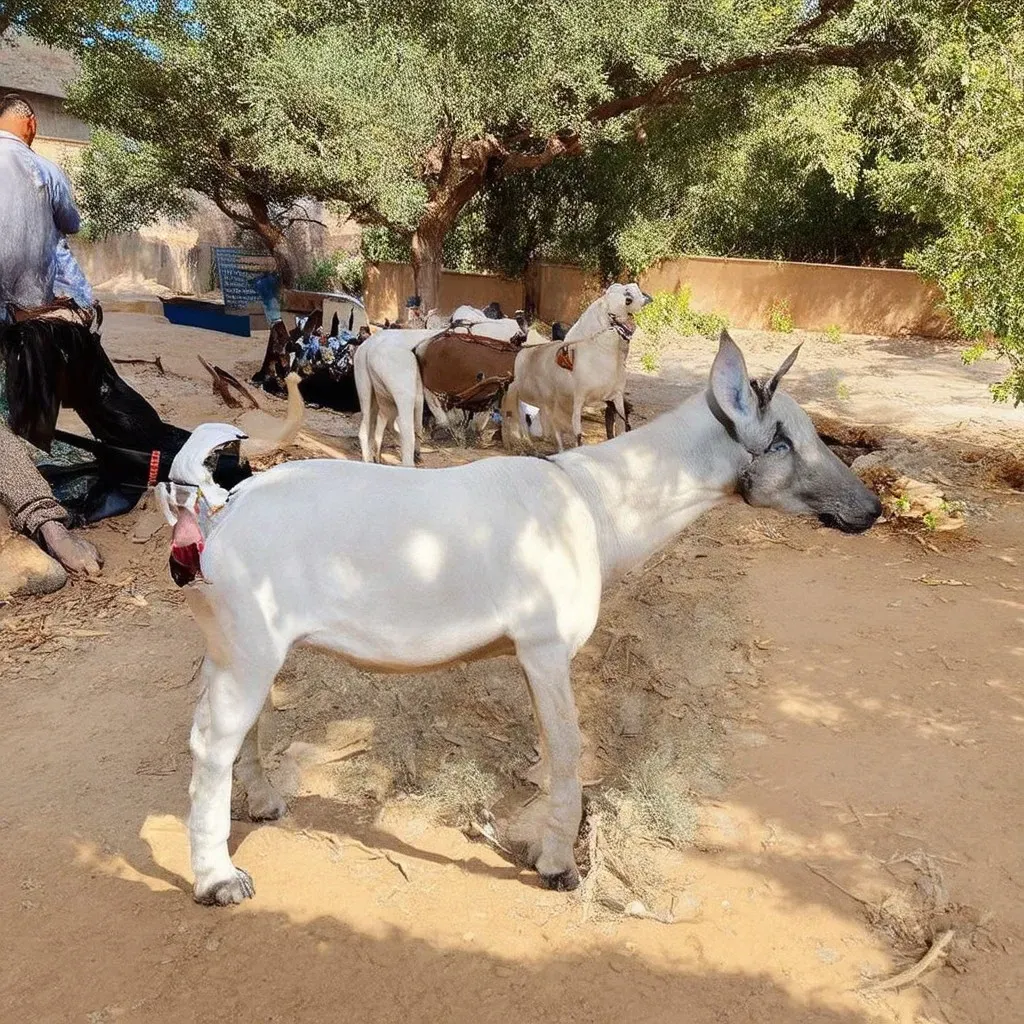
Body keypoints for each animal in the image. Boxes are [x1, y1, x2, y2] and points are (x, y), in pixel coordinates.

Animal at [157, 329, 880, 905]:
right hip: (249, 649)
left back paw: (263, 803)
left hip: (237, 650)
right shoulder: (545, 646)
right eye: (788, 441)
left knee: (239, 731)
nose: (870, 509)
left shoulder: (533, 658)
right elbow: (567, 749)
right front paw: (559, 865)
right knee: (210, 744)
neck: (594, 502)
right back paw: (217, 878)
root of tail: (219, 506)